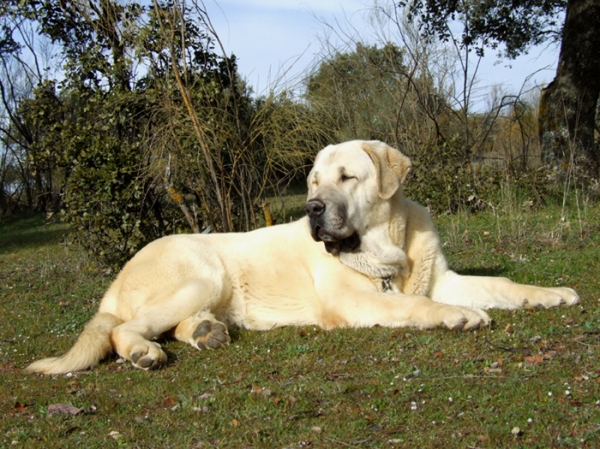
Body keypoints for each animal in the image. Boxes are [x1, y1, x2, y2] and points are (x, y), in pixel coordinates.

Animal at [24, 141, 580, 374]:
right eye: (313, 182)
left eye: (347, 177)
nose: (313, 208)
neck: (387, 247)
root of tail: (117, 278)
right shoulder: (358, 303)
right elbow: (414, 305)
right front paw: (457, 316)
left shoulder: (441, 277)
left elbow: (500, 285)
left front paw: (551, 294)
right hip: (204, 273)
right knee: (124, 329)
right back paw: (144, 351)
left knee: (171, 323)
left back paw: (206, 332)